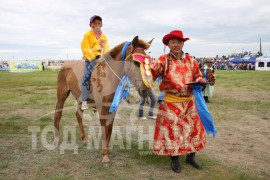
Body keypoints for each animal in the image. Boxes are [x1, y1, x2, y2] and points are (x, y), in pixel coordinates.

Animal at [53, 35, 154, 167]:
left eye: (150, 62)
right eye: (137, 62)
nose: (146, 90)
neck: (108, 77)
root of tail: (64, 66)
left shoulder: (112, 108)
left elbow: (109, 128)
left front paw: (109, 151)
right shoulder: (102, 110)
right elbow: (104, 130)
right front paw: (105, 156)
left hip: (80, 99)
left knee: (78, 116)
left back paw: (84, 138)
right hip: (61, 96)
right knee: (58, 114)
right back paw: (56, 140)